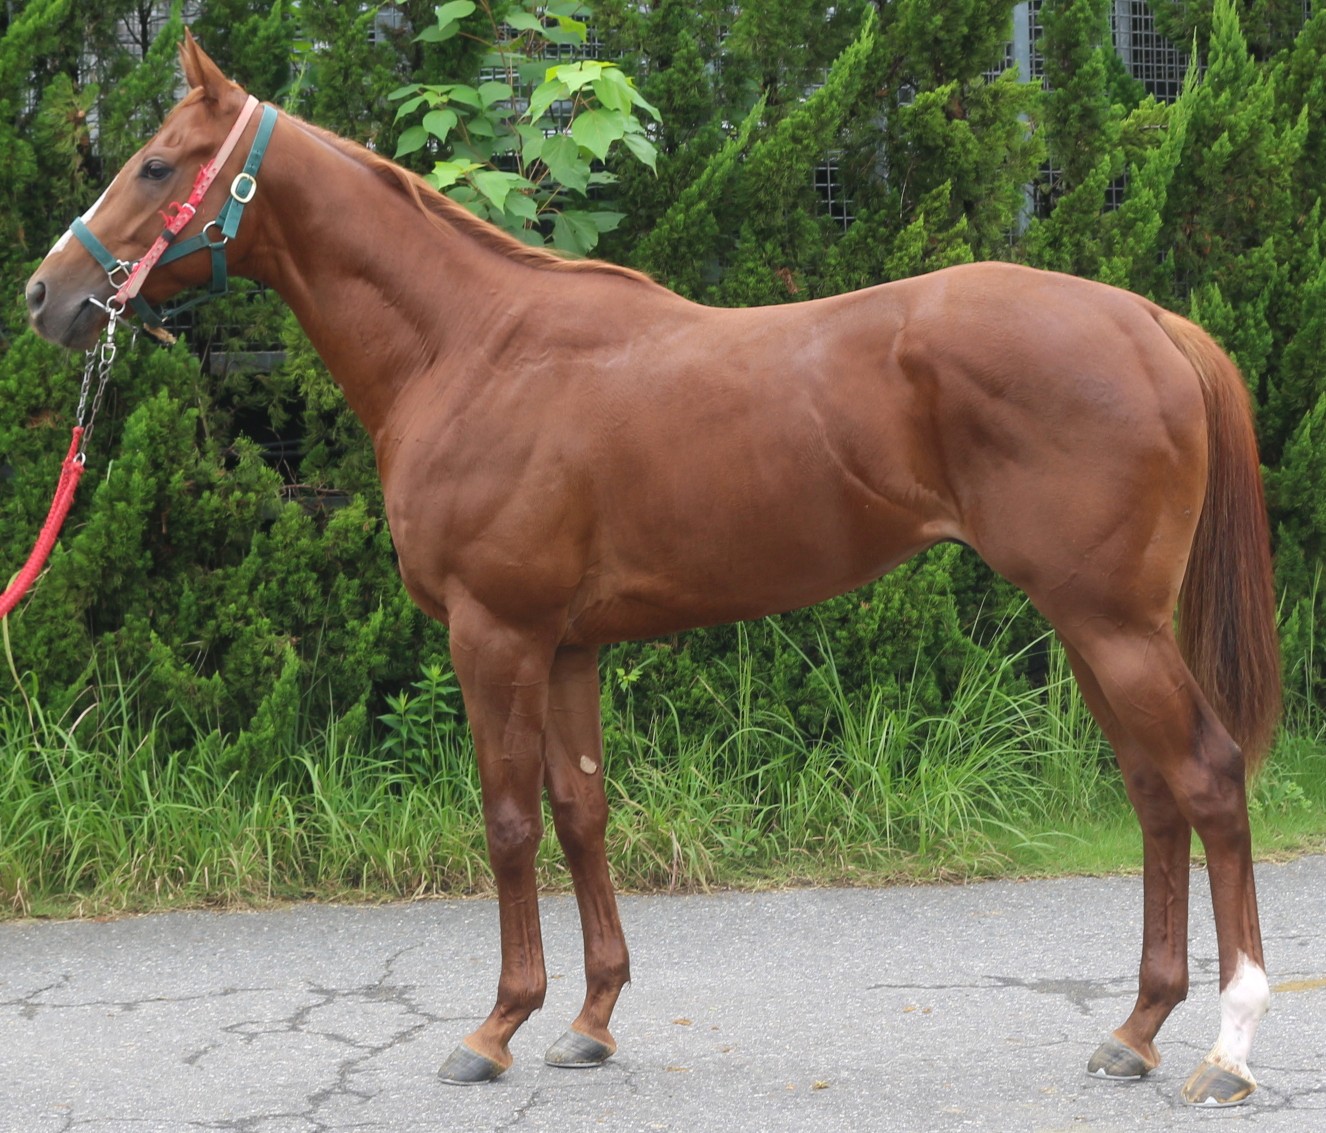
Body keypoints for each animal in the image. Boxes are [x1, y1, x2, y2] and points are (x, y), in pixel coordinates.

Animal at [24, 34, 1281, 1107]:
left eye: (157, 162)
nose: (47, 294)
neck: (473, 347)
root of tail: (1152, 321)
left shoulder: (494, 632)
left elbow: (507, 820)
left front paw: (495, 1027)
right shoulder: (568, 642)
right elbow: (583, 810)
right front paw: (589, 1019)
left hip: (1112, 622)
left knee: (1209, 778)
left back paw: (1225, 1047)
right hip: (1094, 625)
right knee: (1154, 793)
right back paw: (1132, 1031)